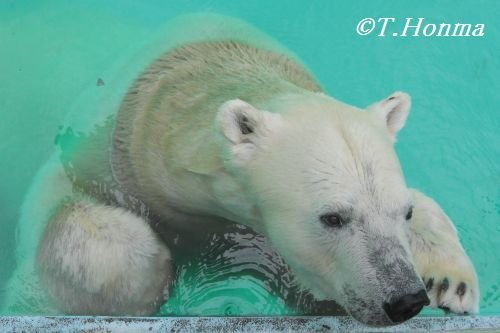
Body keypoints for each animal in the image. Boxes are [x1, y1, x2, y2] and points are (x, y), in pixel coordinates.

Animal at [1, 14, 478, 324]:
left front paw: (450, 282)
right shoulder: (94, 153)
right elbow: (72, 217)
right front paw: (141, 284)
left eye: (405, 212)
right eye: (333, 217)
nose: (405, 300)